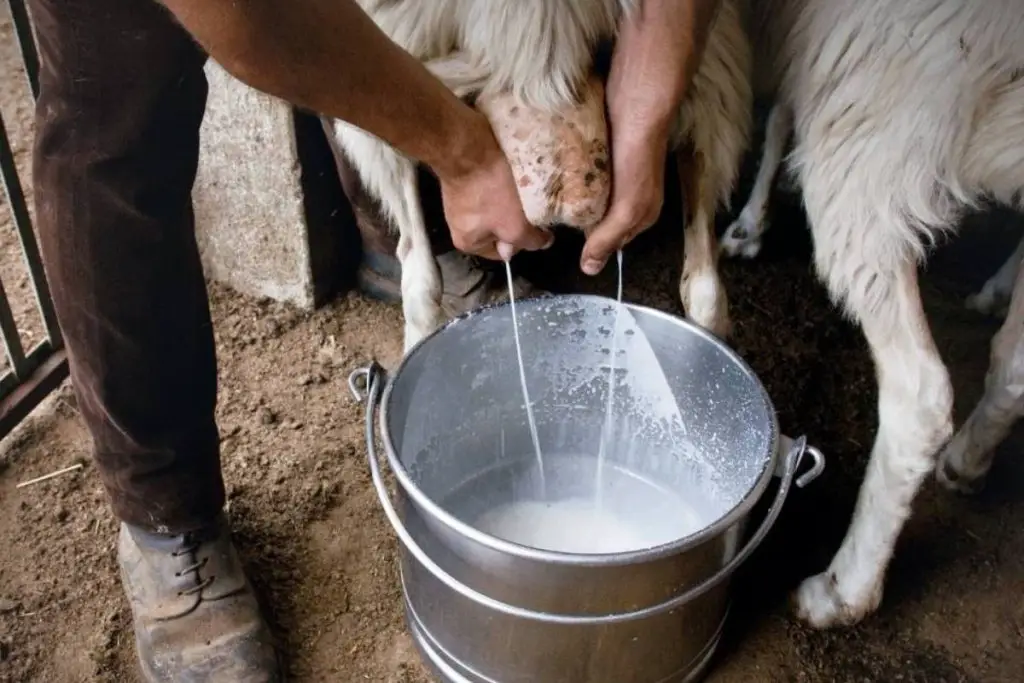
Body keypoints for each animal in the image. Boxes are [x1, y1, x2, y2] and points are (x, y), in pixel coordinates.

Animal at [729, 0, 1024, 630]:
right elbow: (782, 108)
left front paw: (748, 224)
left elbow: (778, 114)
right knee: (1014, 359)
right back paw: (969, 456)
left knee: (921, 397)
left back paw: (844, 589)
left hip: (879, 107)